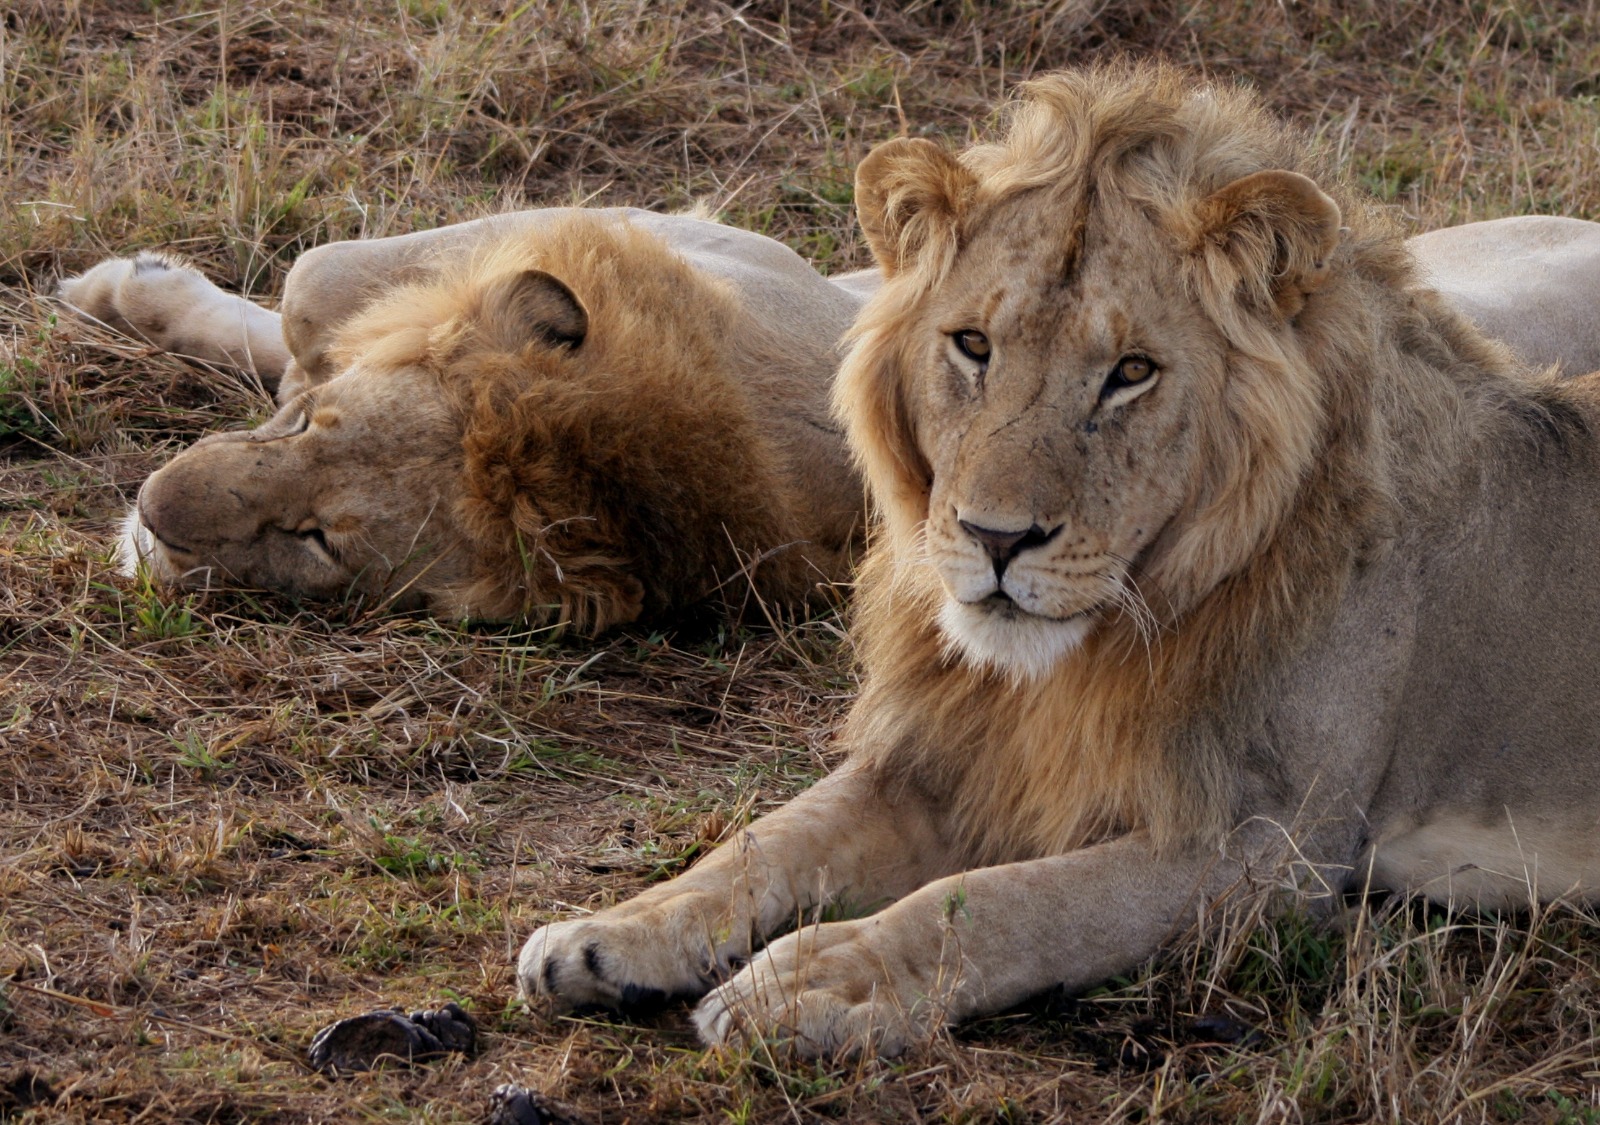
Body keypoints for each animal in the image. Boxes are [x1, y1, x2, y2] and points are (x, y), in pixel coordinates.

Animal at [60, 211, 872, 632]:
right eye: (305, 426)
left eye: (316, 540)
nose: (149, 510)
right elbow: (314, 292)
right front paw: (120, 291)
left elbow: (311, 293)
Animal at [515, 61, 1600, 1058]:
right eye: (972, 344)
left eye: (1132, 373)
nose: (997, 538)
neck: (1072, 660)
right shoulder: (953, 757)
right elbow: (771, 837)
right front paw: (612, 933)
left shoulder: (1270, 845)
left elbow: (1002, 902)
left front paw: (820, 980)